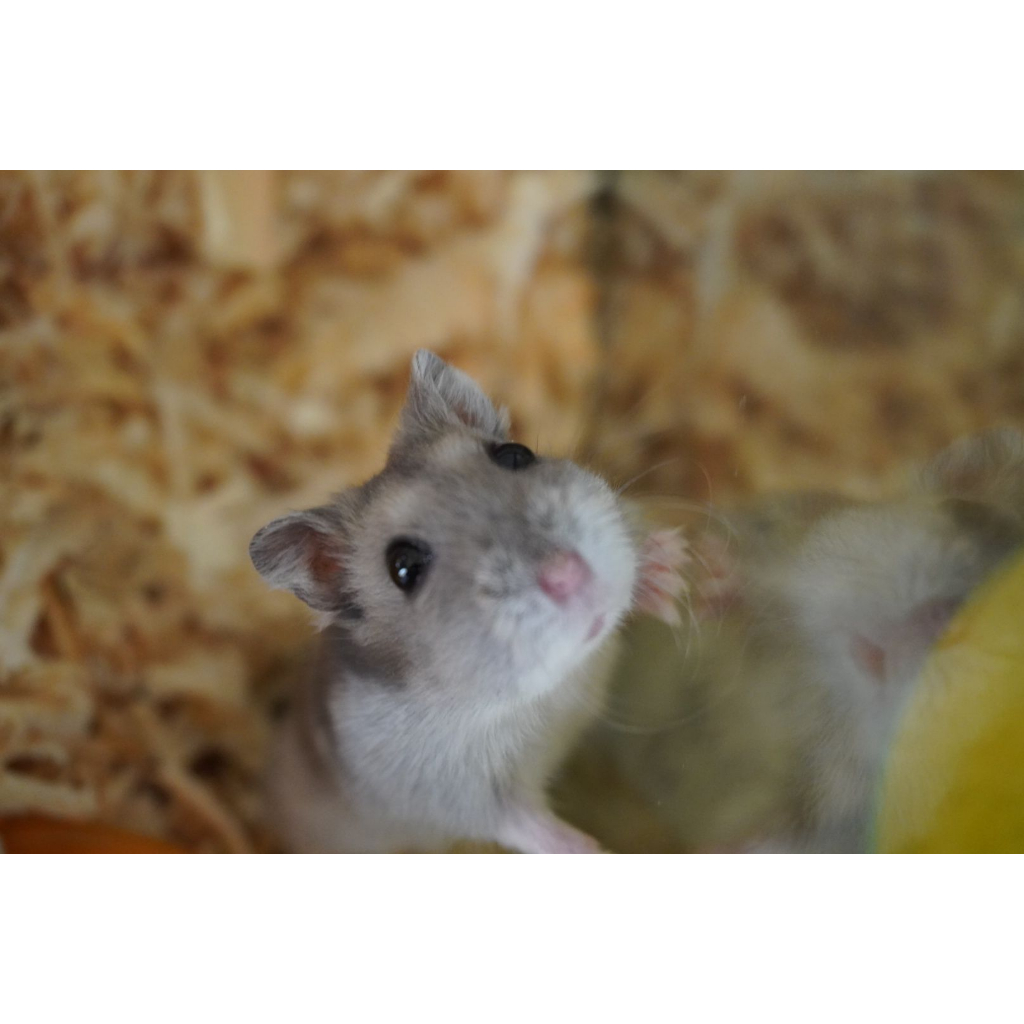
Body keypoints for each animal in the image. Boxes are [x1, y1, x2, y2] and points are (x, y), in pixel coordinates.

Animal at [249, 350, 686, 853]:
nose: (569, 573)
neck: (539, 689)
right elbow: (523, 823)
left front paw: (671, 569)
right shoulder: (458, 795)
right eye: (403, 567)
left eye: (516, 454)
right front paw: (594, 849)